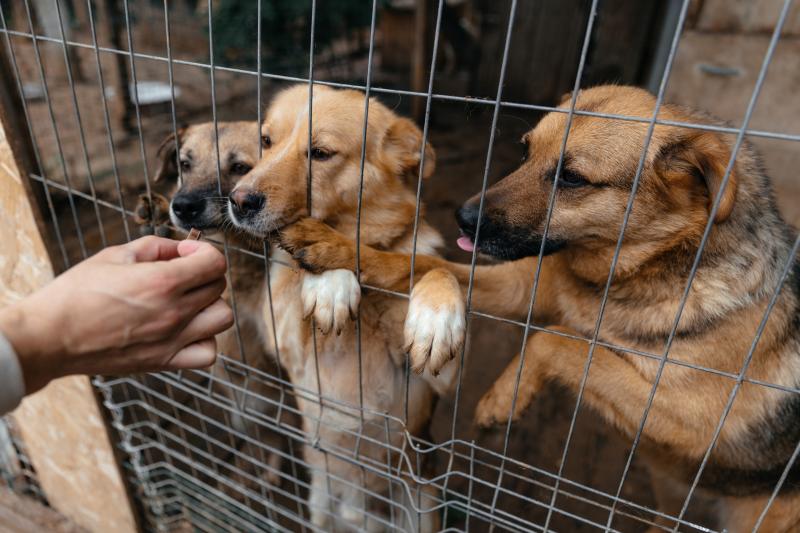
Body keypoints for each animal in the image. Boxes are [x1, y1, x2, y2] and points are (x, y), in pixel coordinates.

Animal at [225, 85, 466, 528]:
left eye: (320, 153)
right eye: (266, 141)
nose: (238, 200)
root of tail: (360, 513)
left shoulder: (440, 380)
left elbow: (440, 270)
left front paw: (435, 320)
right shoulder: (285, 340)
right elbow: (307, 273)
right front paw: (330, 280)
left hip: (421, 505)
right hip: (321, 506)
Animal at [278, 85, 800, 528]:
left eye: (572, 177)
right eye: (526, 151)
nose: (462, 217)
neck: (634, 270)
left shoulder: (701, 421)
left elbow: (559, 339)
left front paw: (501, 399)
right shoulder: (522, 286)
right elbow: (417, 262)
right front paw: (333, 246)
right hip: (670, 484)